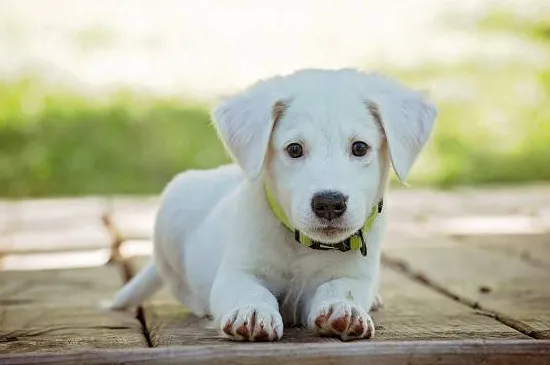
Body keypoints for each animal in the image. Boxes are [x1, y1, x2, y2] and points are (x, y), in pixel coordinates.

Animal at [109, 68, 440, 342]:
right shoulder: (237, 271)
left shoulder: (355, 275)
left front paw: (343, 308)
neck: (302, 245)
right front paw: (253, 311)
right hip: (172, 212)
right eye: (294, 149)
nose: (329, 203)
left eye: (360, 147)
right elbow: (250, 289)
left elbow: (339, 287)